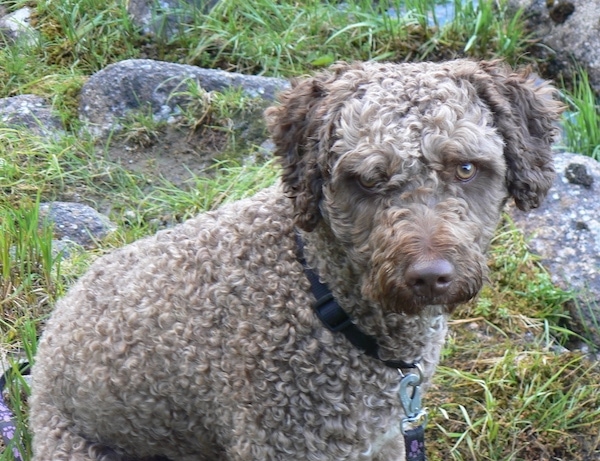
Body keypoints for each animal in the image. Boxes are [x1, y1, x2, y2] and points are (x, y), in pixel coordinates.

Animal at [28, 59, 564, 458]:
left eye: (466, 168)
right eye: (367, 179)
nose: (430, 277)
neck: (321, 293)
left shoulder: (385, 439)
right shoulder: (281, 441)